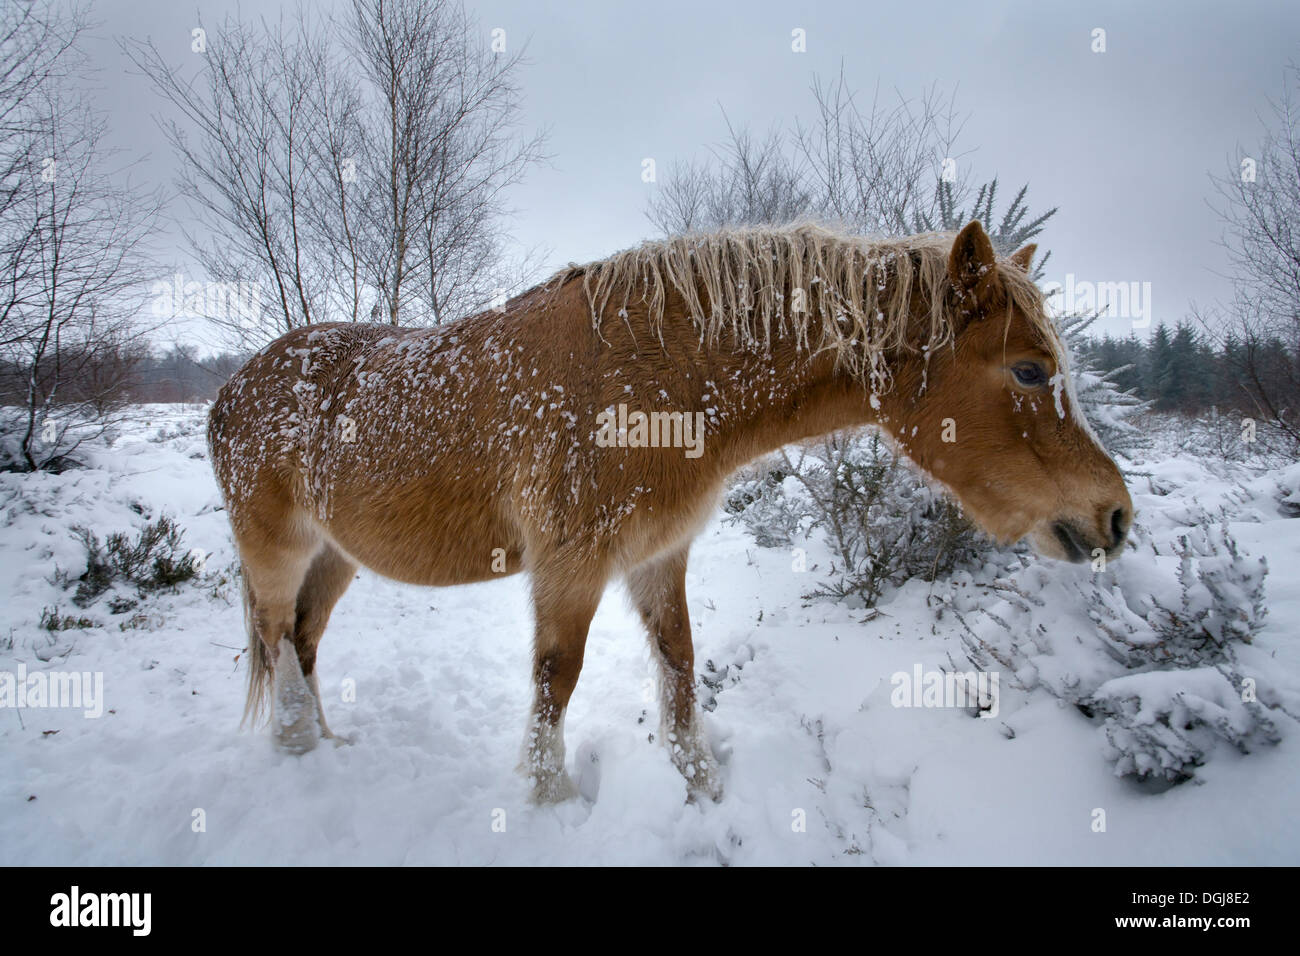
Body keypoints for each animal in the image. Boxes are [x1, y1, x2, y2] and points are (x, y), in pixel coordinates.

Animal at [208, 221, 1133, 806]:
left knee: (302, 638)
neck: (663, 378)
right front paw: (551, 799)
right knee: (278, 638)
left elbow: (680, 671)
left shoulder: (659, 556)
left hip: (337, 554)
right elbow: (556, 681)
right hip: (277, 550)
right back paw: (296, 749)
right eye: (1029, 370)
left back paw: (322, 744)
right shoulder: (571, 566)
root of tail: (233, 388)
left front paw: (701, 787)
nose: (1116, 517)